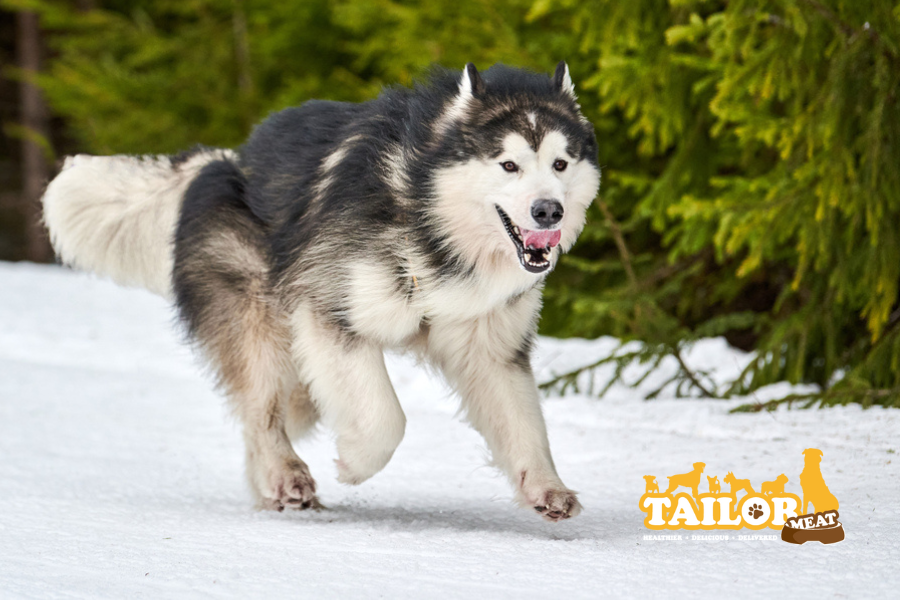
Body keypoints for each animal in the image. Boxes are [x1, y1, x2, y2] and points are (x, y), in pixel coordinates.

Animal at [44, 62, 604, 520]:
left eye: (560, 164)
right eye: (508, 164)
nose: (548, 211)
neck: (426, 218)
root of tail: (224, 160)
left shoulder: (489, 345)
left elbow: (524, 426)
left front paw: (546, 487)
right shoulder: (329, 311)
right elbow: (384, 420)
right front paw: (355, 465)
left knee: (272, 411)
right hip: (263, 322)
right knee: (262, 408)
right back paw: (284, 475)